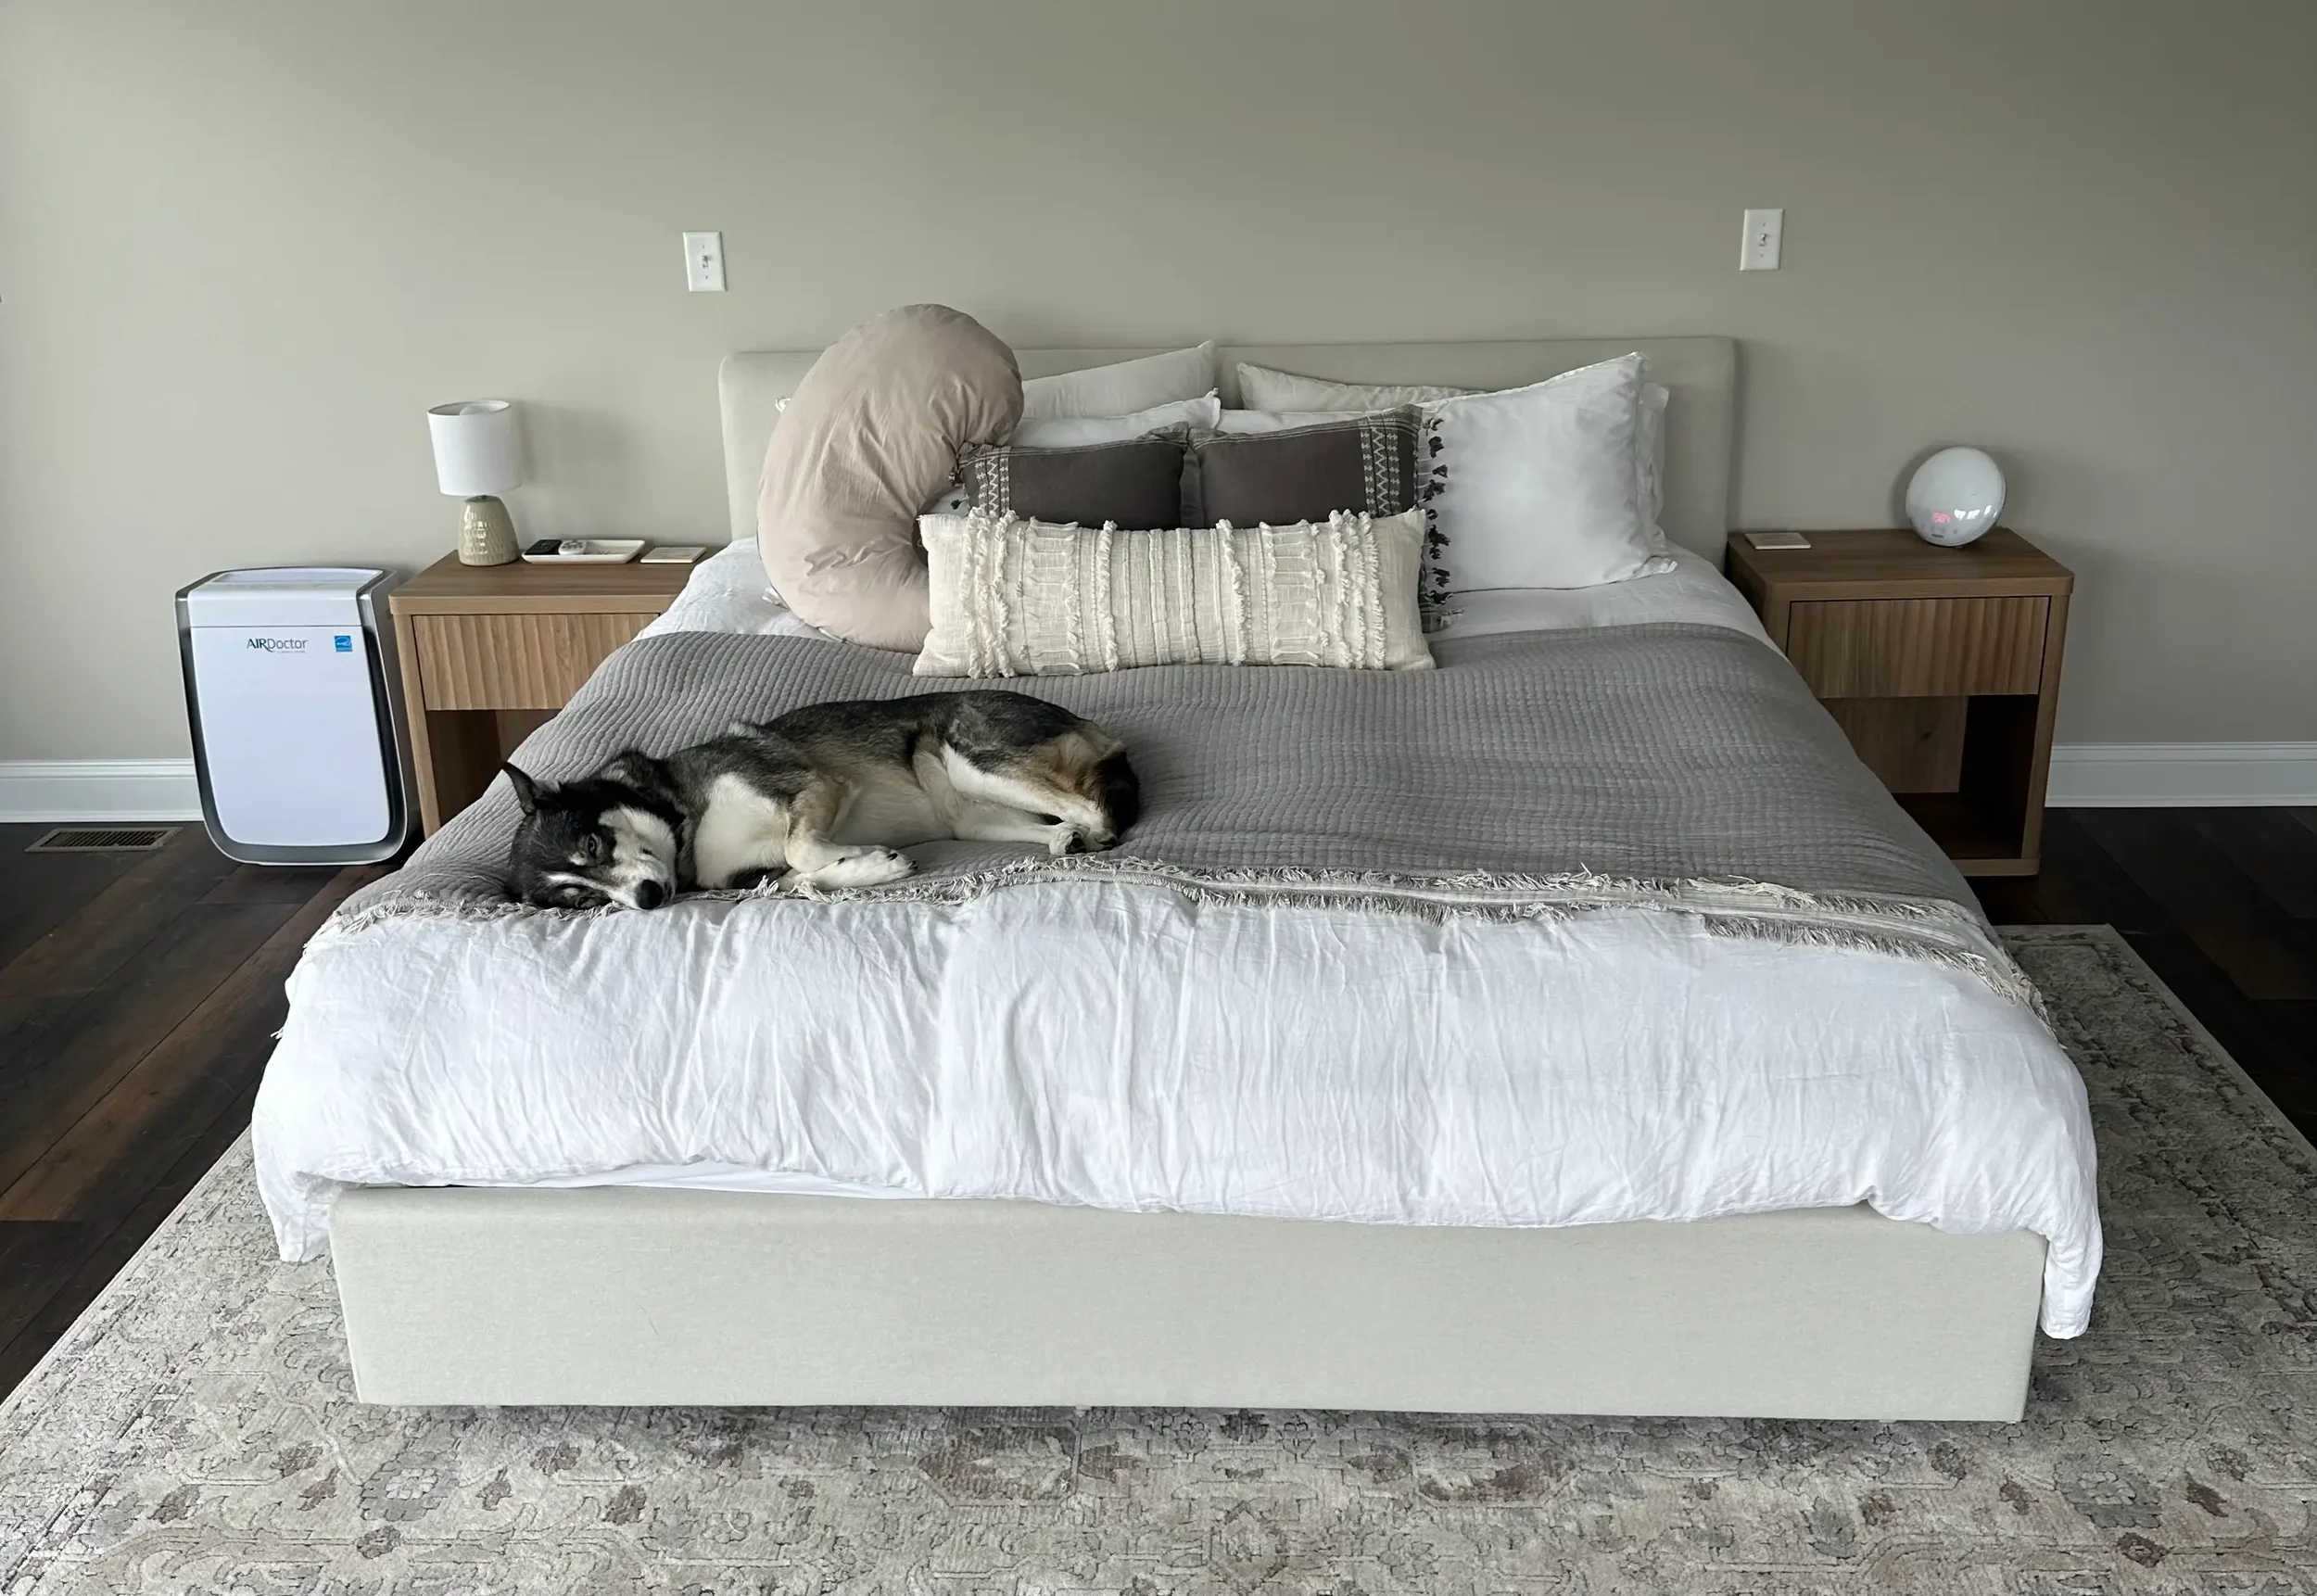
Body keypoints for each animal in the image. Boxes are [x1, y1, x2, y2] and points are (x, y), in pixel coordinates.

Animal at [504, 690, 1138, 910]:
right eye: (582, 901)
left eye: (592, 843)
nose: (648, 900)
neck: (683, 813)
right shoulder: (751, 879)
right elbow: (803, 878)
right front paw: (871, 866)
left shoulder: (815, 788)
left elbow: (803, 850)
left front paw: (857, 854)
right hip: (968, 817)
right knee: (1056, 823)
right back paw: (1062, 841)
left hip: (968, 758)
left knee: (1091, 809)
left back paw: (1094, 834)